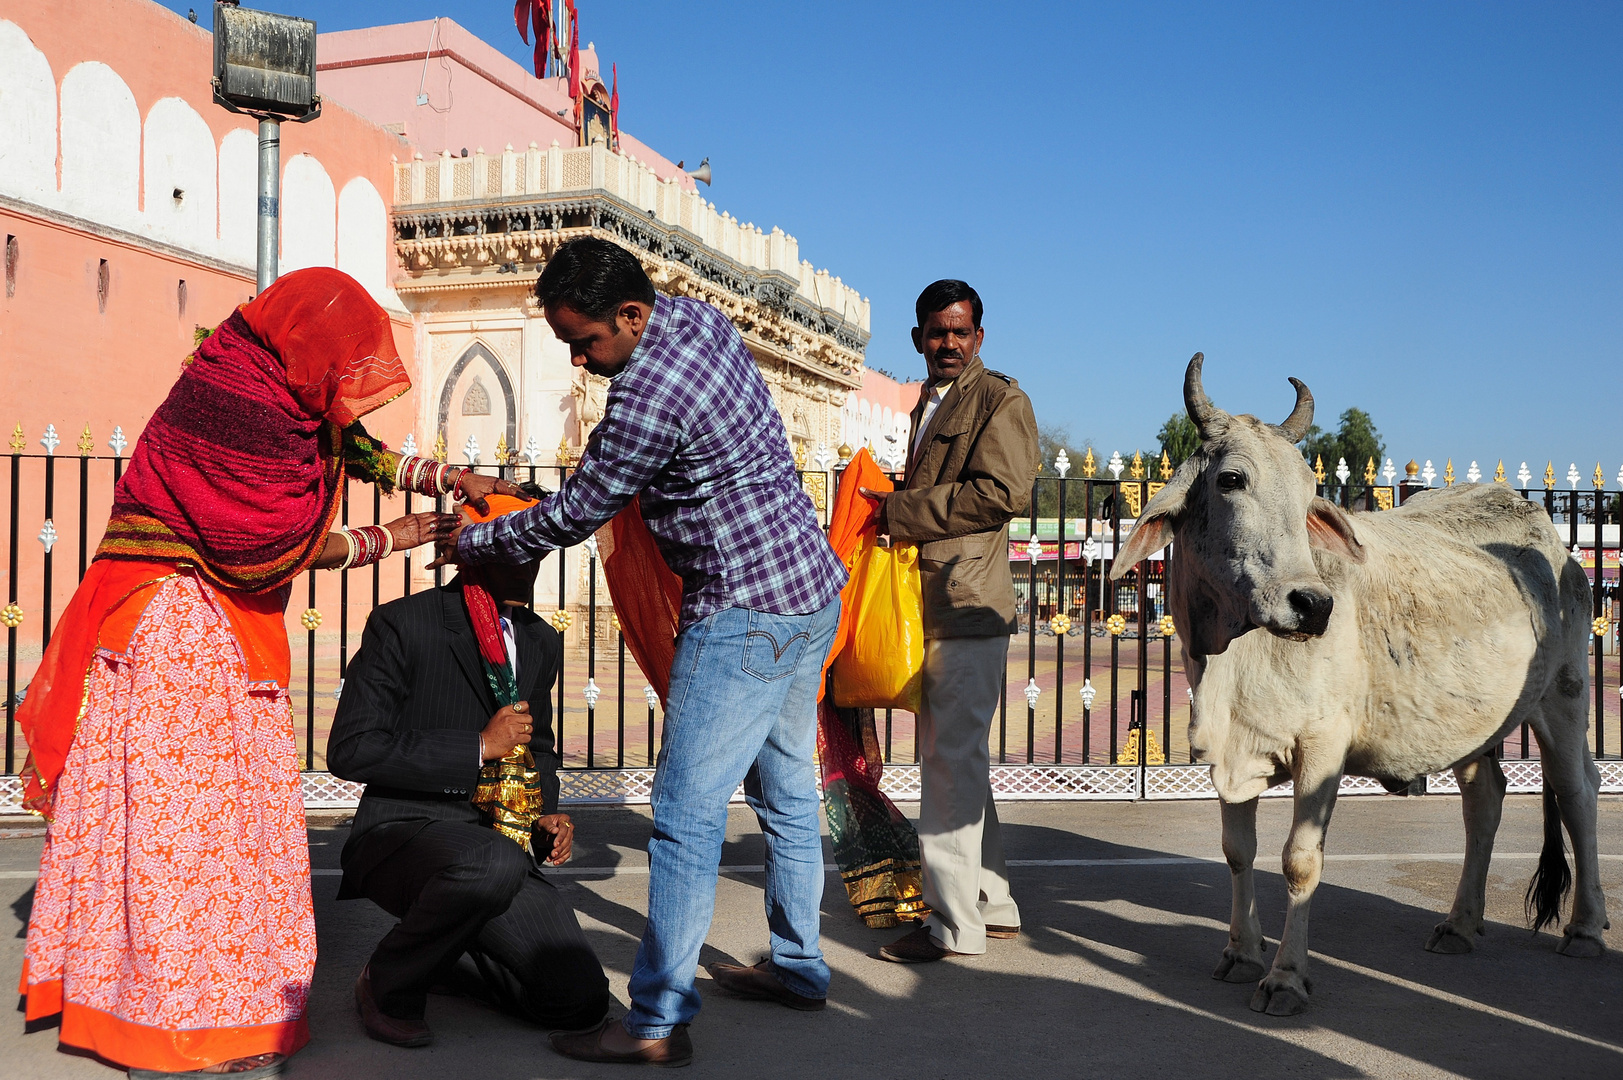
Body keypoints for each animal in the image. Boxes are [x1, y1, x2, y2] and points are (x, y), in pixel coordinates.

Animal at [1110, 354, 1603, 1013]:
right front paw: (1240, 954)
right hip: (1475, 724)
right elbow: (1238, 853)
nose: (1313, 605)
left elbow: (1299, 861)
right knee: (1485, 799)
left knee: (1578, 793)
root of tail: (1556, 545)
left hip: (1563, 699)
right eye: (1232, 480)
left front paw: (1286, 977)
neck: (1233, 655)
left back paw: (1585, 930)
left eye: (1307, 494)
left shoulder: (1322, 748)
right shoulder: (1232, 753)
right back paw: (1460, 924)